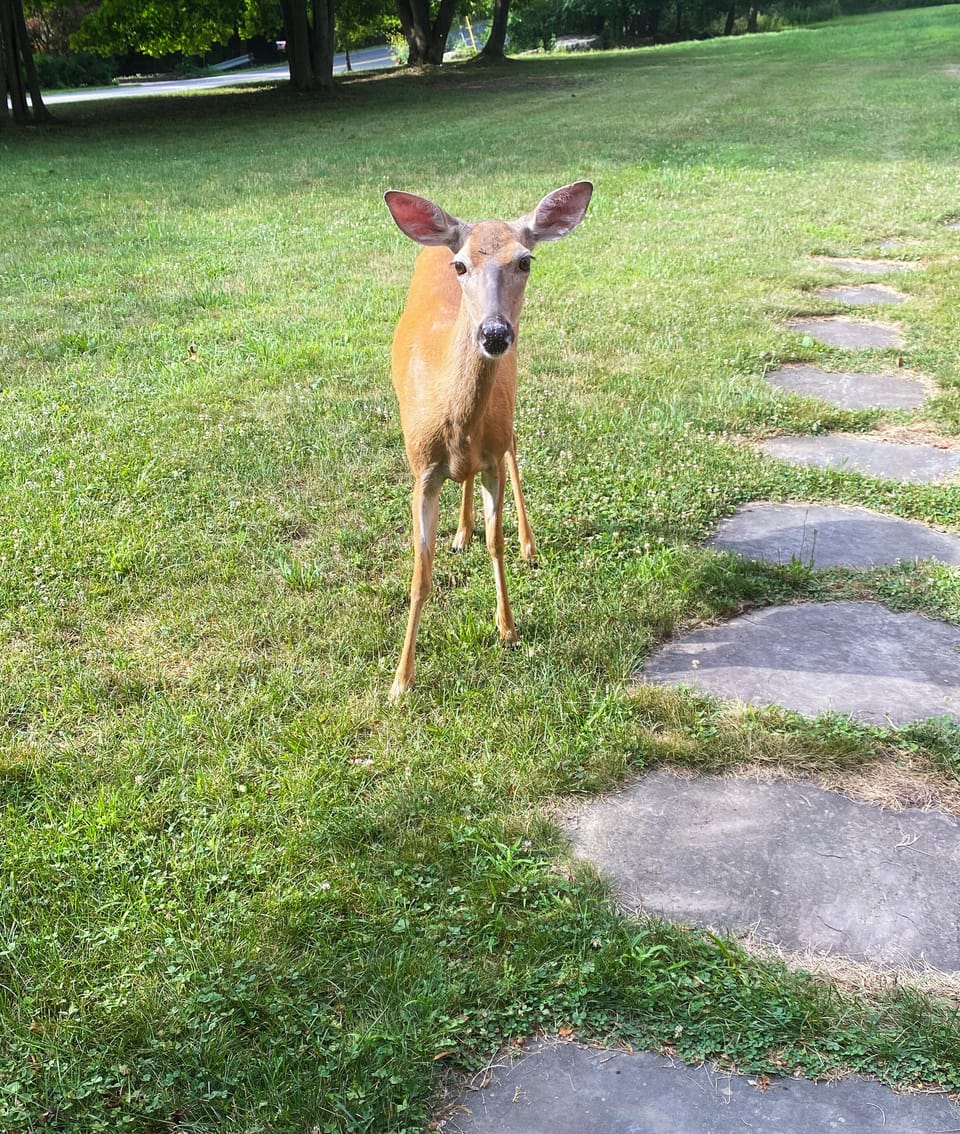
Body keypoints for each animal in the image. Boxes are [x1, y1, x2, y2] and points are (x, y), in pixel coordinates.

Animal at [383, 181, 593, 701]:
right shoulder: (421, 468)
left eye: (525, 260)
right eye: (460, 265)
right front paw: (400, 681)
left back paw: (528, 544)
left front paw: (508, 628)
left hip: (511, 396)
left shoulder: (493, 451)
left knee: (515, 447)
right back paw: (460, 532)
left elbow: (495, 544)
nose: (495, 333)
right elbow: (421, 573)